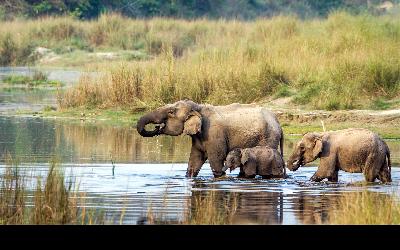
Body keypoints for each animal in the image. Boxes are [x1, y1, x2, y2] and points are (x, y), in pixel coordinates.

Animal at [136, 99, 282, 178]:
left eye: (171, 112)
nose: (157, 127)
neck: (198, 107)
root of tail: (278, 123)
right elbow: (195, 160)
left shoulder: (214, 134)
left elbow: (216, 160)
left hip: (269, 138)